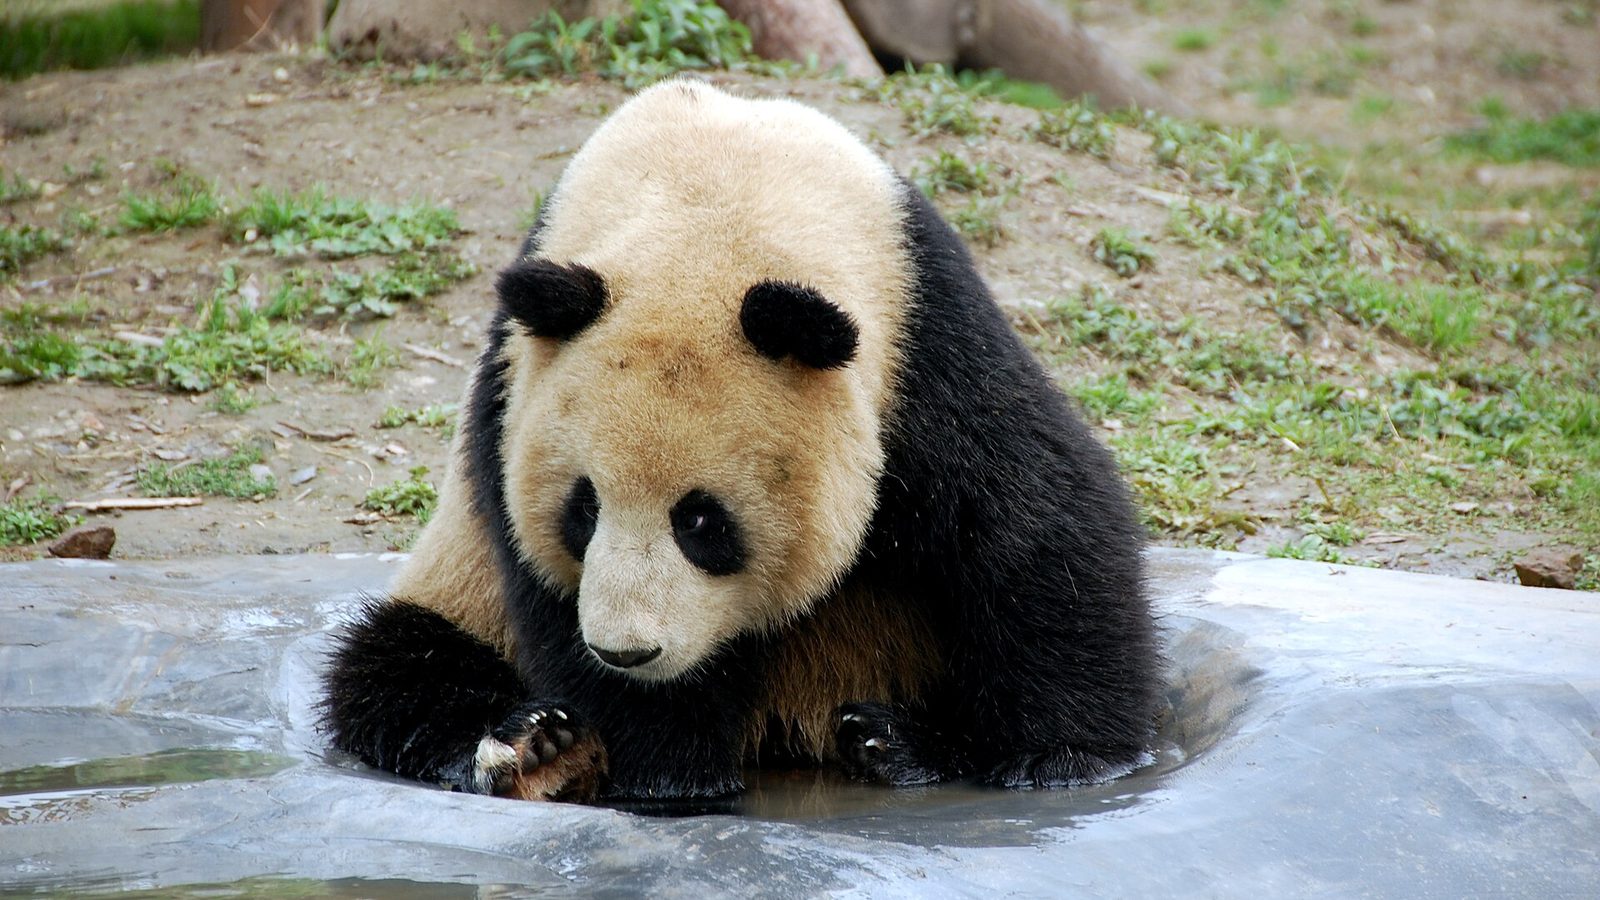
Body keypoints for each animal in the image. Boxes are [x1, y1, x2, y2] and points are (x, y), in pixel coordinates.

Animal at [321, 79, 1159, 804]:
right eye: (582, 510)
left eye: (701, 520)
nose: (628, 652)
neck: (712, 200)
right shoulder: (510, 389)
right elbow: (543, 591)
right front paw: (669, 772)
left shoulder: (924, 337)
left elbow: (1032, 524)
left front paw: (1058, 758)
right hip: (453, 588)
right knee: (391, 665)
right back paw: (523, 742)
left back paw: (895, 742)